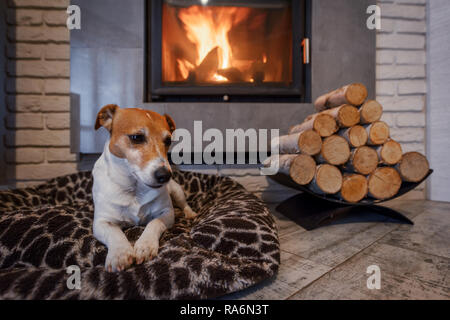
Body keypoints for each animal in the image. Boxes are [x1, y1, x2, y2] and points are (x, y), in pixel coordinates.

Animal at [92, 104, 196, 272]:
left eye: (168, 140)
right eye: (136, 137)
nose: (165, 175)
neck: (134, 188)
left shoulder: (166, 213)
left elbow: (153, 223)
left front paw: (145, 245)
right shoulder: (101, 222)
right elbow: (114, 232)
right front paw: (119, 253)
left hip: (176, 191)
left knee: (183, 203)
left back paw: (189, 213)